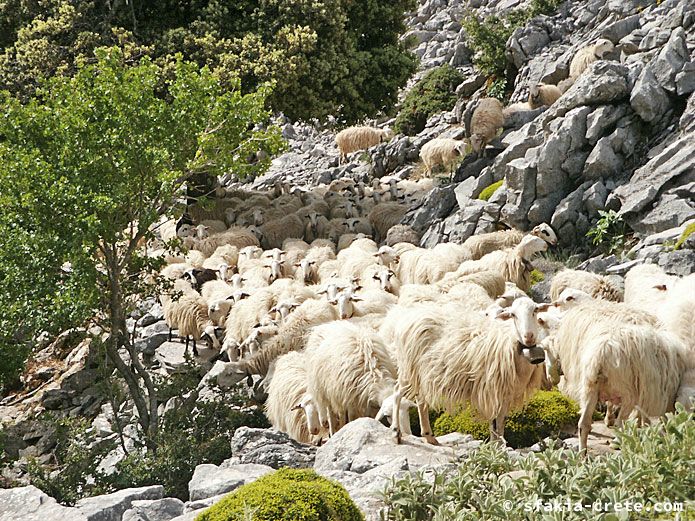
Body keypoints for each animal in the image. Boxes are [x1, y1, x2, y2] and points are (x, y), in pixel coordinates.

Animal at [392, 296, 548, 442]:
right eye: (513, 315)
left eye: (535, 310)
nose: (528, 337)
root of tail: (410, 316)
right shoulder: (492, 391)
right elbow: (495, 425)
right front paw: (495, 447)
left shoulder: (506, 395)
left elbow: (500, 424)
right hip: (408, 367)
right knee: (397, 392)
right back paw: (396, 432)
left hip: (421, 373)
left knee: (420, 399)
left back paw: (429, 437)